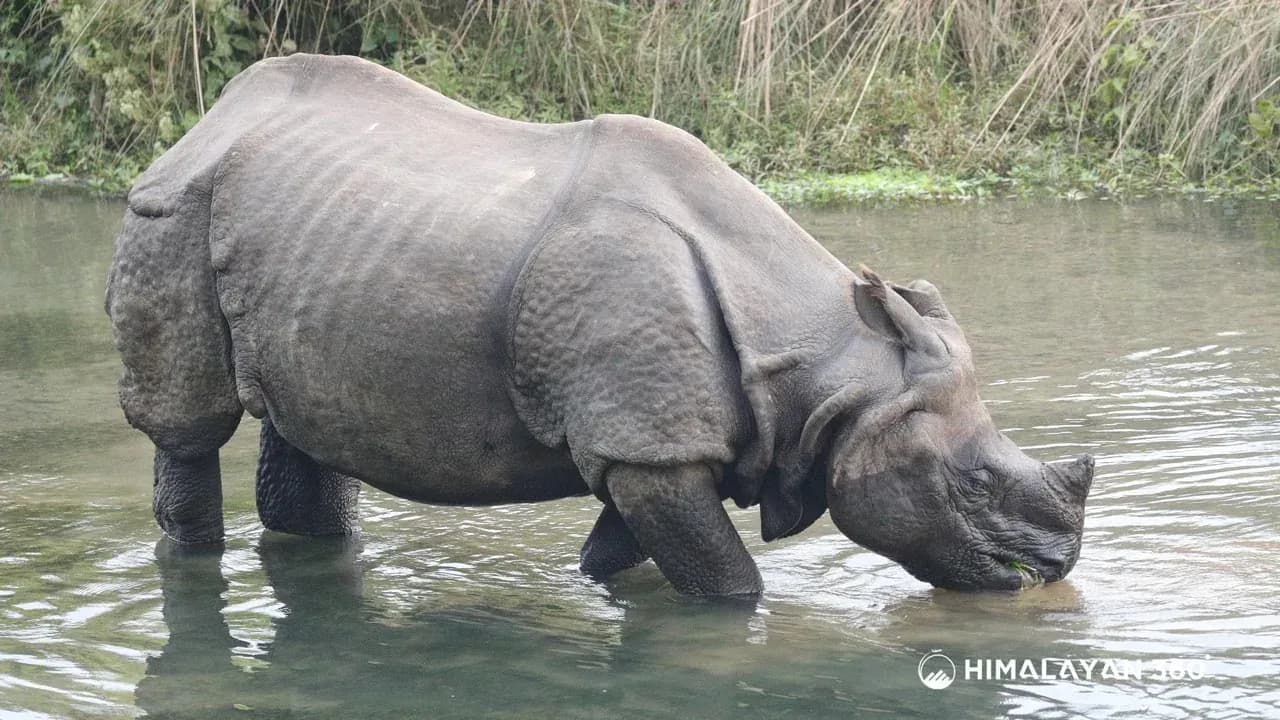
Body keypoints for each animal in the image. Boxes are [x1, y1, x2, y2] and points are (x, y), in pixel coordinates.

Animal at [105, 54, 1093, 596]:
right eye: (972, 483)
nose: (1056, 568)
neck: (829, 365)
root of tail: (208, 120)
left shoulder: (651, 444)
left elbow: (621, 554)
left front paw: (594, 586)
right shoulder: (648, 446)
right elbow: (732, 582)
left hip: (314, 230)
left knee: (311, 419)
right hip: (169, 211)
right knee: (190, 425)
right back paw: (192, 561)